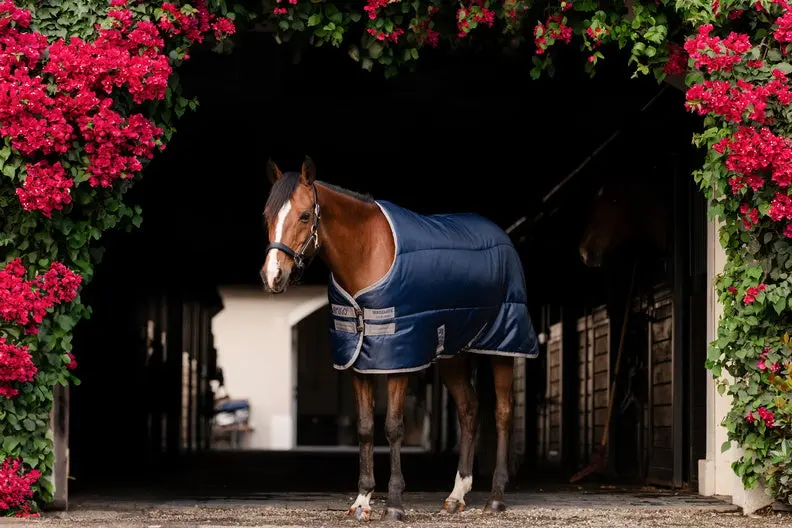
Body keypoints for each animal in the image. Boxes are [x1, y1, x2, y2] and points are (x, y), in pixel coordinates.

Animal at [260, 156, 540, 521]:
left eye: (305, 215)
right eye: (267, 216)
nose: (272, 277)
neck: (367, 254)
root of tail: (501, 237)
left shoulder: (399, 359)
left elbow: (393, 427)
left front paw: (394, 503)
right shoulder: (358, 360)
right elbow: (365, 428)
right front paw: (362, 501)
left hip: (503, 346)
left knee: (503, 412)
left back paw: (495, 497)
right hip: (454, 354)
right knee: (469, 409)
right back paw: (456, 495)